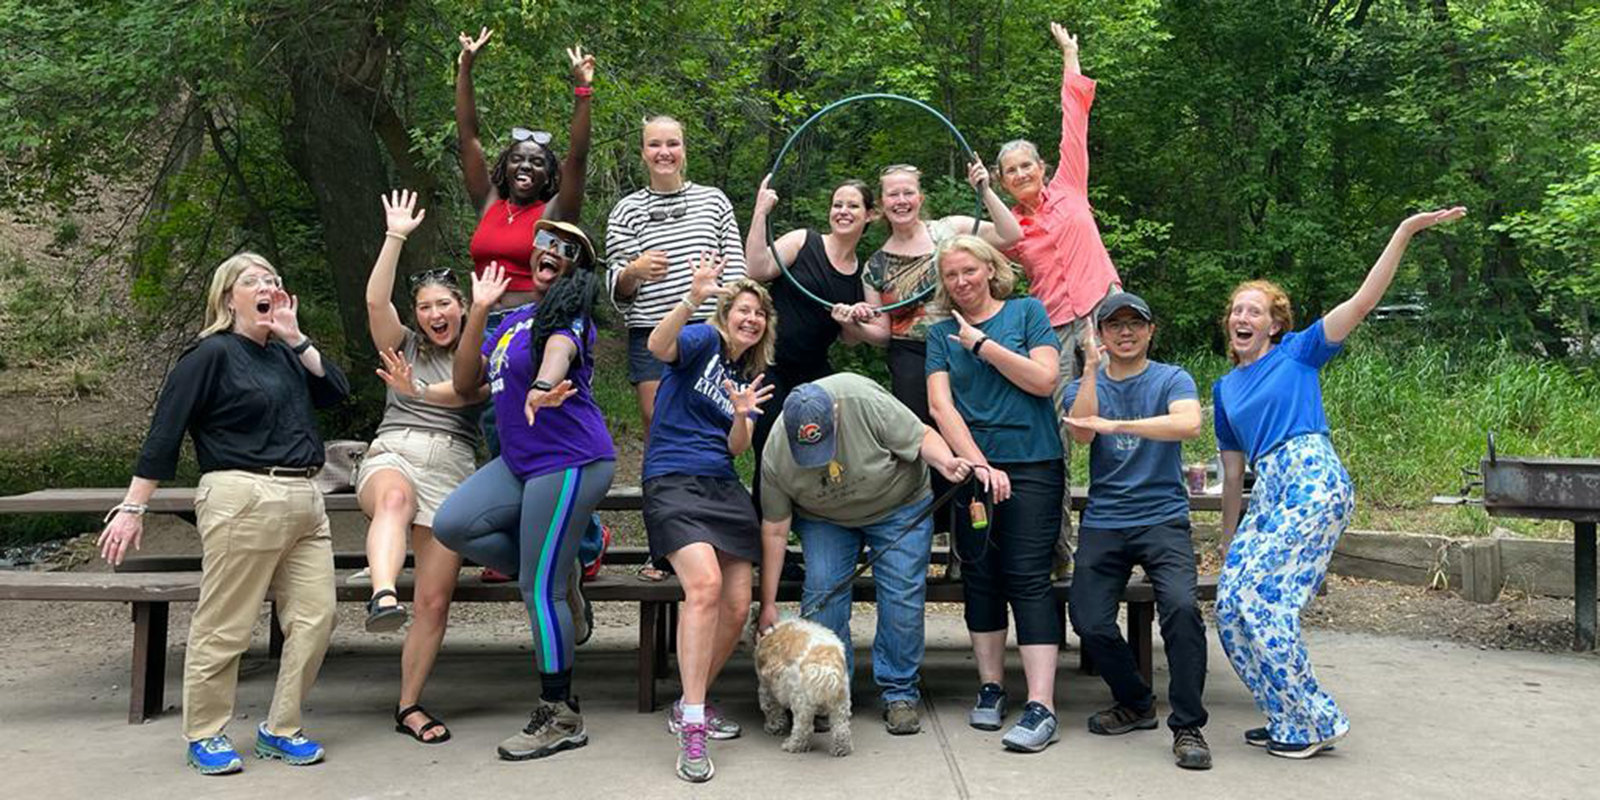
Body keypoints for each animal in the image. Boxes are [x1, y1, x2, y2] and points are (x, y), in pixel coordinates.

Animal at [748, 611, 851, 755]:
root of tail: (826, 666)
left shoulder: (766, 688)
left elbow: (771, 709)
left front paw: (773, 727)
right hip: (841, 702)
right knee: (841, 727)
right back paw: (841, 748)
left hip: (801, 703)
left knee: (803, 728)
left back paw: (793, 745)